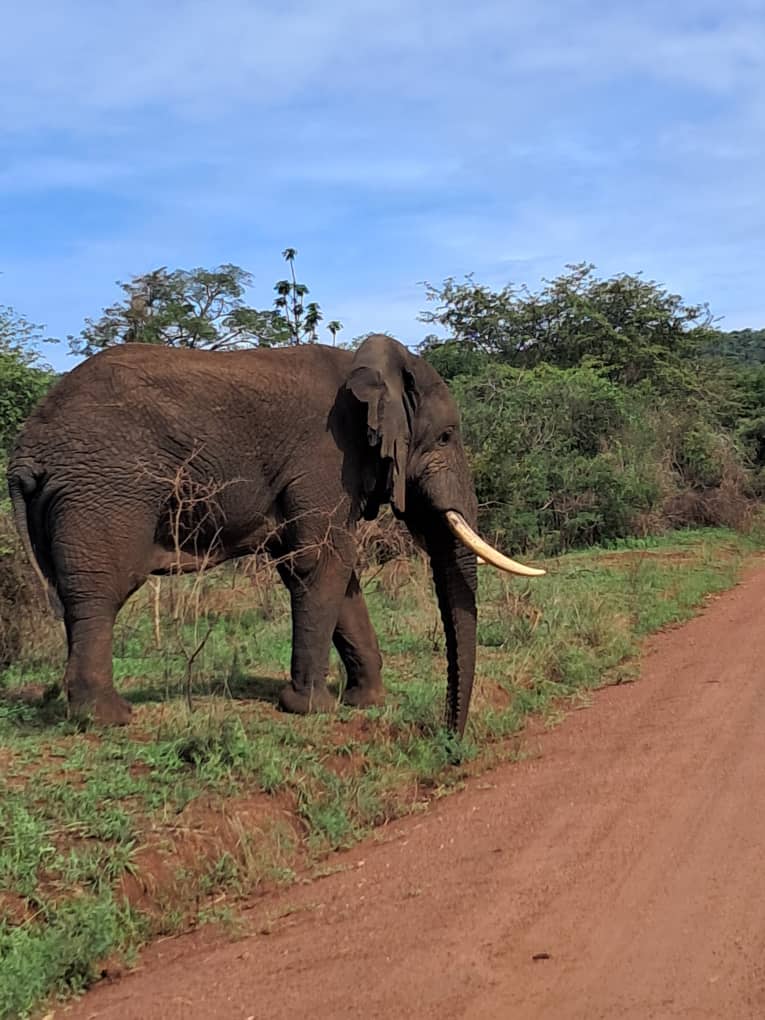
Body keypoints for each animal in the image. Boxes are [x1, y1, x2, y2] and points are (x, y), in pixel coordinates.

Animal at [7, 334, 543, 735]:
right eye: (447, 437)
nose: (449, 734)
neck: (366, 366)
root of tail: (25, 450)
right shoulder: (327, 455)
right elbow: (319, 563)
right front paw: (313, 710)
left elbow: (331, 573)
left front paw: (366, 703)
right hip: (104, 492)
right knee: (100, 593)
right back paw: (108, 718)